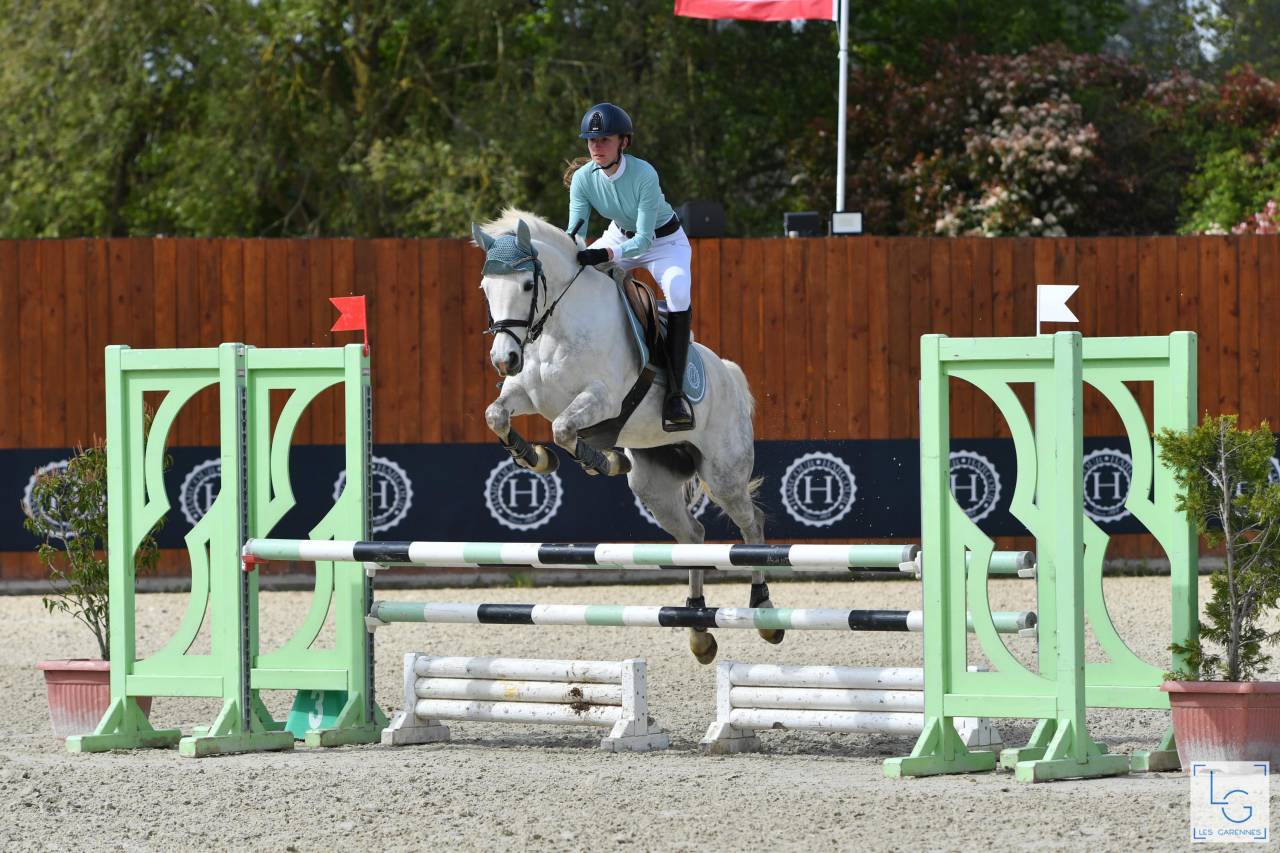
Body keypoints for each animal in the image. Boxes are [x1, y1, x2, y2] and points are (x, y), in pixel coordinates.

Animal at [472, 209, 780, 664]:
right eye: (486, 289)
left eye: (528, 285)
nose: (504, 360)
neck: (558, 326)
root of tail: (728, 372)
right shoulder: (525, 394)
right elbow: (496, 415)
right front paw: (535, 458)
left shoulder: (601, 399)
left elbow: (563, 428)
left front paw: (603, 460)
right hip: (654, 486)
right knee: (693, 536)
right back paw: (698, 629)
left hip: (724, 474)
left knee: (751, 526)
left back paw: (763, 609)